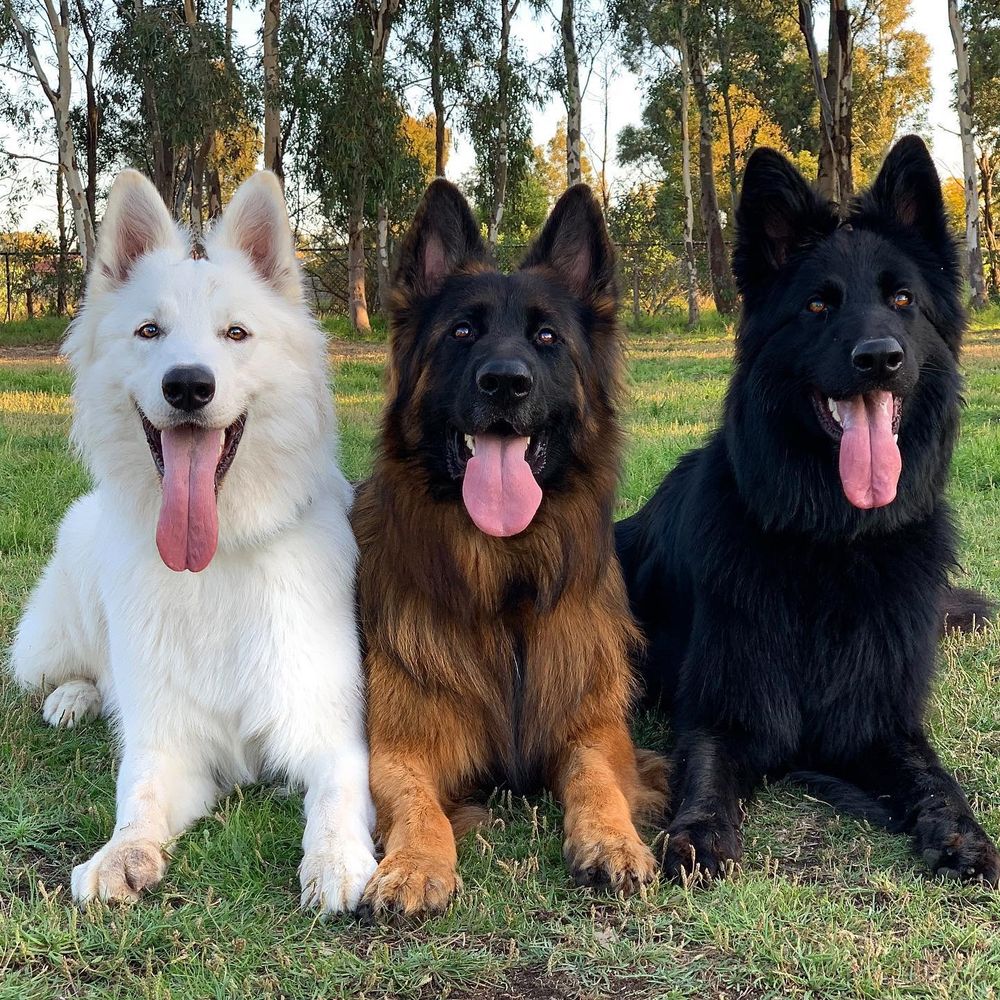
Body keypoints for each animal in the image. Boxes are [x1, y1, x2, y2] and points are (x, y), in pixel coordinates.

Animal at [6, 170, 378, 916]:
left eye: (236, 334)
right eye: (150, 331)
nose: (186, 384)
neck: (217, 559)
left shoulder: (329, 731)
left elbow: (336, 795)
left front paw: (335, 860)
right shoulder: (168, 744)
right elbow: (139, 796)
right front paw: (122, 855)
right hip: (59, 622)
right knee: (70, 671)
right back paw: (73, 699)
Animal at [352, 182, 664, 920]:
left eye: (546, 338)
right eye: (462, 332)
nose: (504, 382)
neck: (505, 588)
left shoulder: (594, 727)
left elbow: (597, 780)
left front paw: (613, 840)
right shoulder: (398, 746)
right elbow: (417, 804)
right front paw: (414, 865)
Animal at [616, 137, 1000, 888]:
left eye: (902, 299)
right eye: (819, 306)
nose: (879, 358)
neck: (832, 542)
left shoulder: (881, 721)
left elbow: (933, 776)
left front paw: (963, 832)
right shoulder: (724, 711)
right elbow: (705, 771)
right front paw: (698, 833)